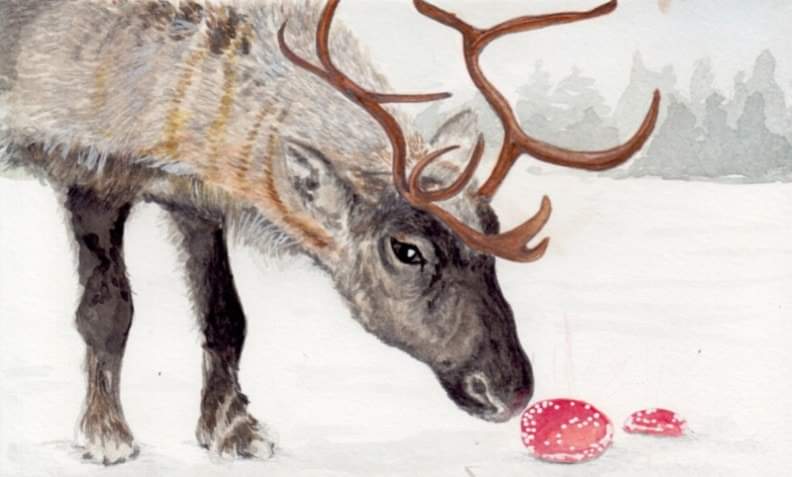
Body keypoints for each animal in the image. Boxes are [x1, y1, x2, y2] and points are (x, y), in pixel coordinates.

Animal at [0, 0, 659, 465]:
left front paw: (234, 430)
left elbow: (225, 316)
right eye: (406, 249)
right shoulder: (87, 165)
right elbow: (107, 312)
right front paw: (107, 435)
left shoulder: (196, 196)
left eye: (491, 230)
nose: (512, 390)